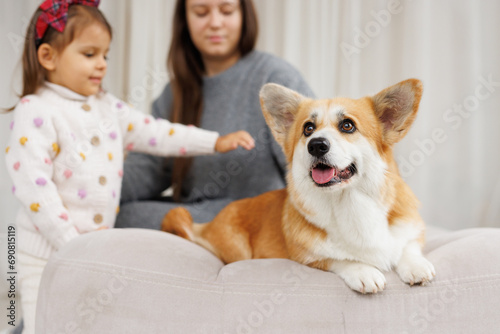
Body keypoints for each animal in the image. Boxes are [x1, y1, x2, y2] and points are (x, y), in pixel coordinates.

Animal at [163, 79, 434, 294]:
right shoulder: (308, 257)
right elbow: (339, 258)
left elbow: (407, 246)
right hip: (237, 250)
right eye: (308, 129)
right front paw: (363, 271)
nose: (316, 145)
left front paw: (416, 266)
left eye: (347, 125)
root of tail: (209, 224)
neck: (348, 201)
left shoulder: (412, 231)